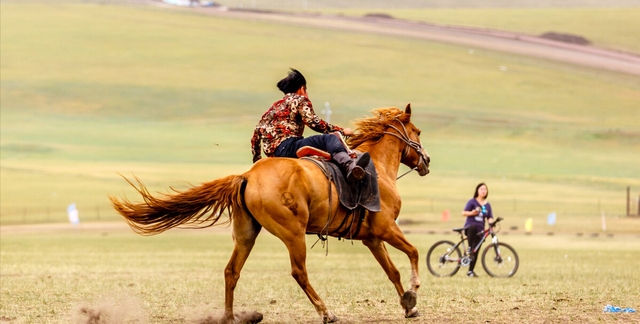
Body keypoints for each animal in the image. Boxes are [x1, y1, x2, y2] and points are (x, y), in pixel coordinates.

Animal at [110, 105, 430, 322]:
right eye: (417, 132)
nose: (426, 160)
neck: (377, 167)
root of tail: (247, 176)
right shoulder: (387, 228)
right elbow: (414, 253)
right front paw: (414, 291)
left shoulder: (371, 237)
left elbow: (392, 270)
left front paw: (408, 305)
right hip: (293, 234)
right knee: (299, 272)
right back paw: (326, 312)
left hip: (246, 235)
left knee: (231, 272)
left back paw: (230, 317)